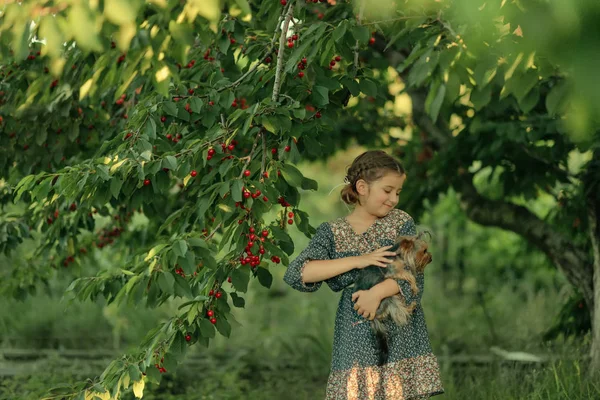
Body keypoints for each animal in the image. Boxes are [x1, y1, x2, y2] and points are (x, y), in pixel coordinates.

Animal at [352, 233, 432, 368]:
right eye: (424, 251)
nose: (431, 258)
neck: (398, 255)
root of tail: (372, 318)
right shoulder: (393, 272)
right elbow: (409, 275)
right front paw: (414, 286)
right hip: (388, 299)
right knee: (400, 312)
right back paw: (411, 306)